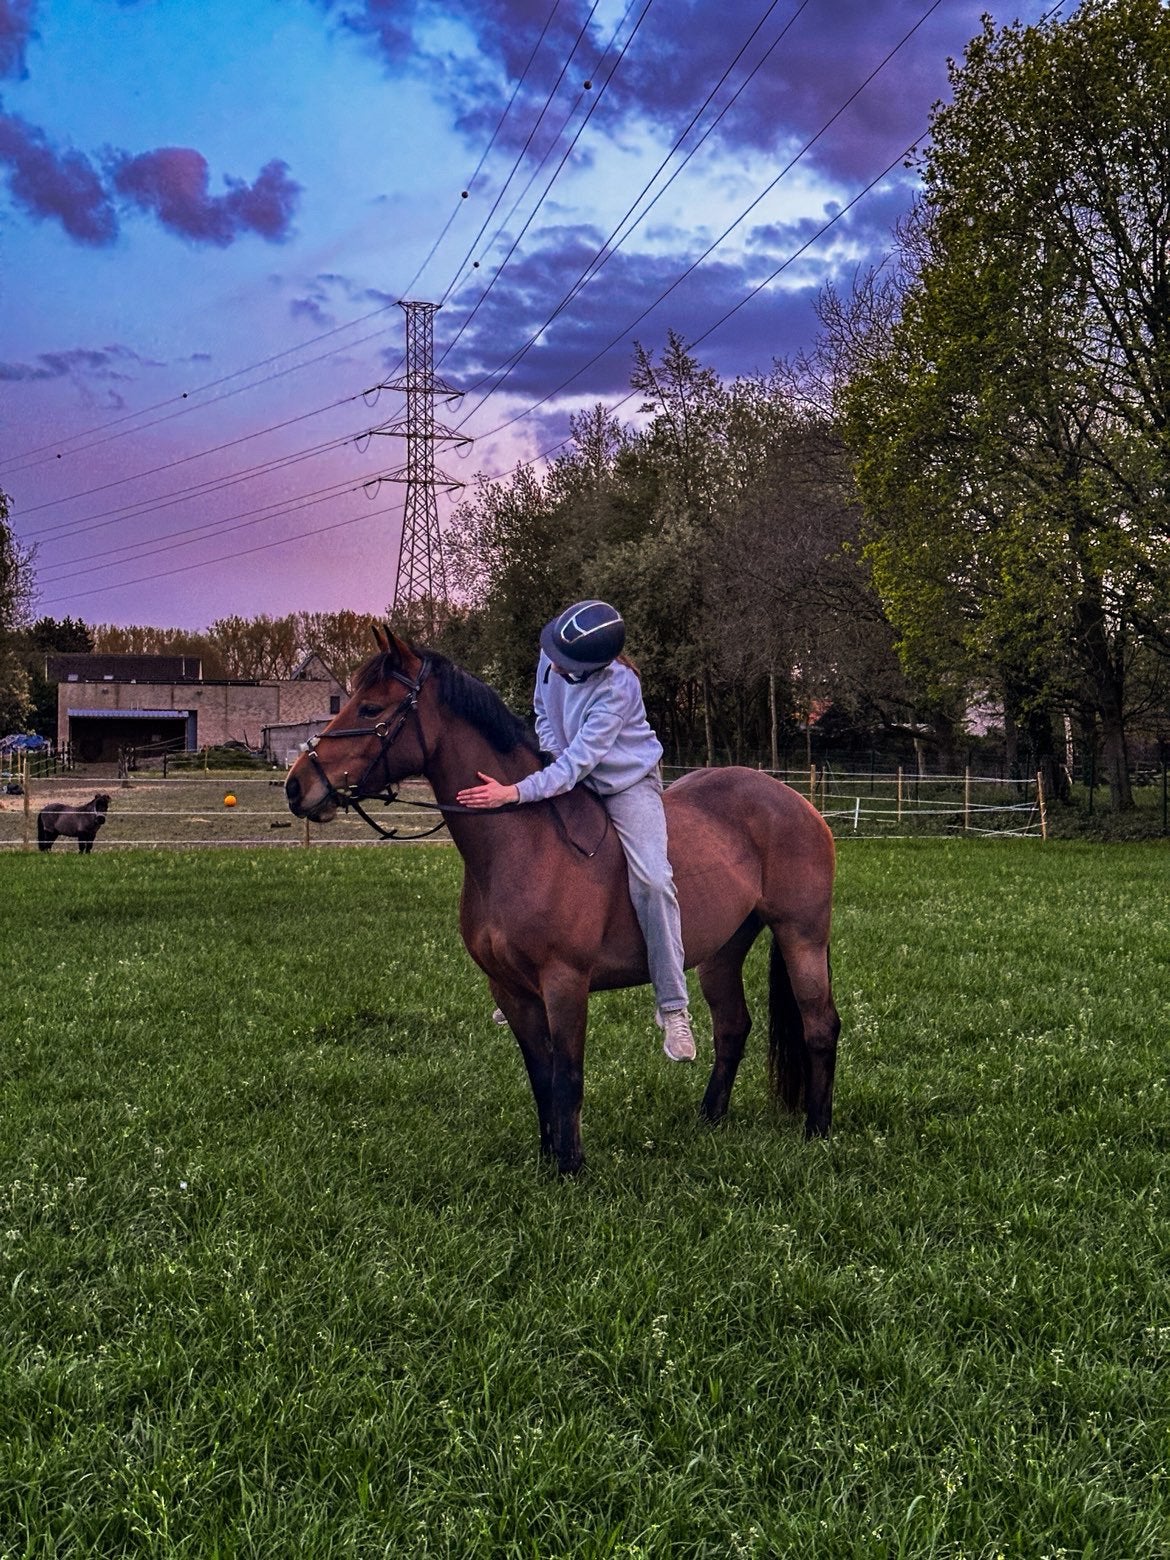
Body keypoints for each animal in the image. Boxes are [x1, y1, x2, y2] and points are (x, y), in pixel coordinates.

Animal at [285, 628, 840, 1174]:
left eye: (370, 708)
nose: (297, 785)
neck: (524, 841)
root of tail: (798, 802)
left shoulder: (565, 982)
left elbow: (569, 1075)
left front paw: (571, 1167)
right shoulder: (512, 990)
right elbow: (541, 1076)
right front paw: (546, 1158)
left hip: (802, 936)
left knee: (820, 1025)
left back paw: (816, 1131)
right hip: (722, 950)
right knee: (732, 1027)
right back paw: (709, 1118)